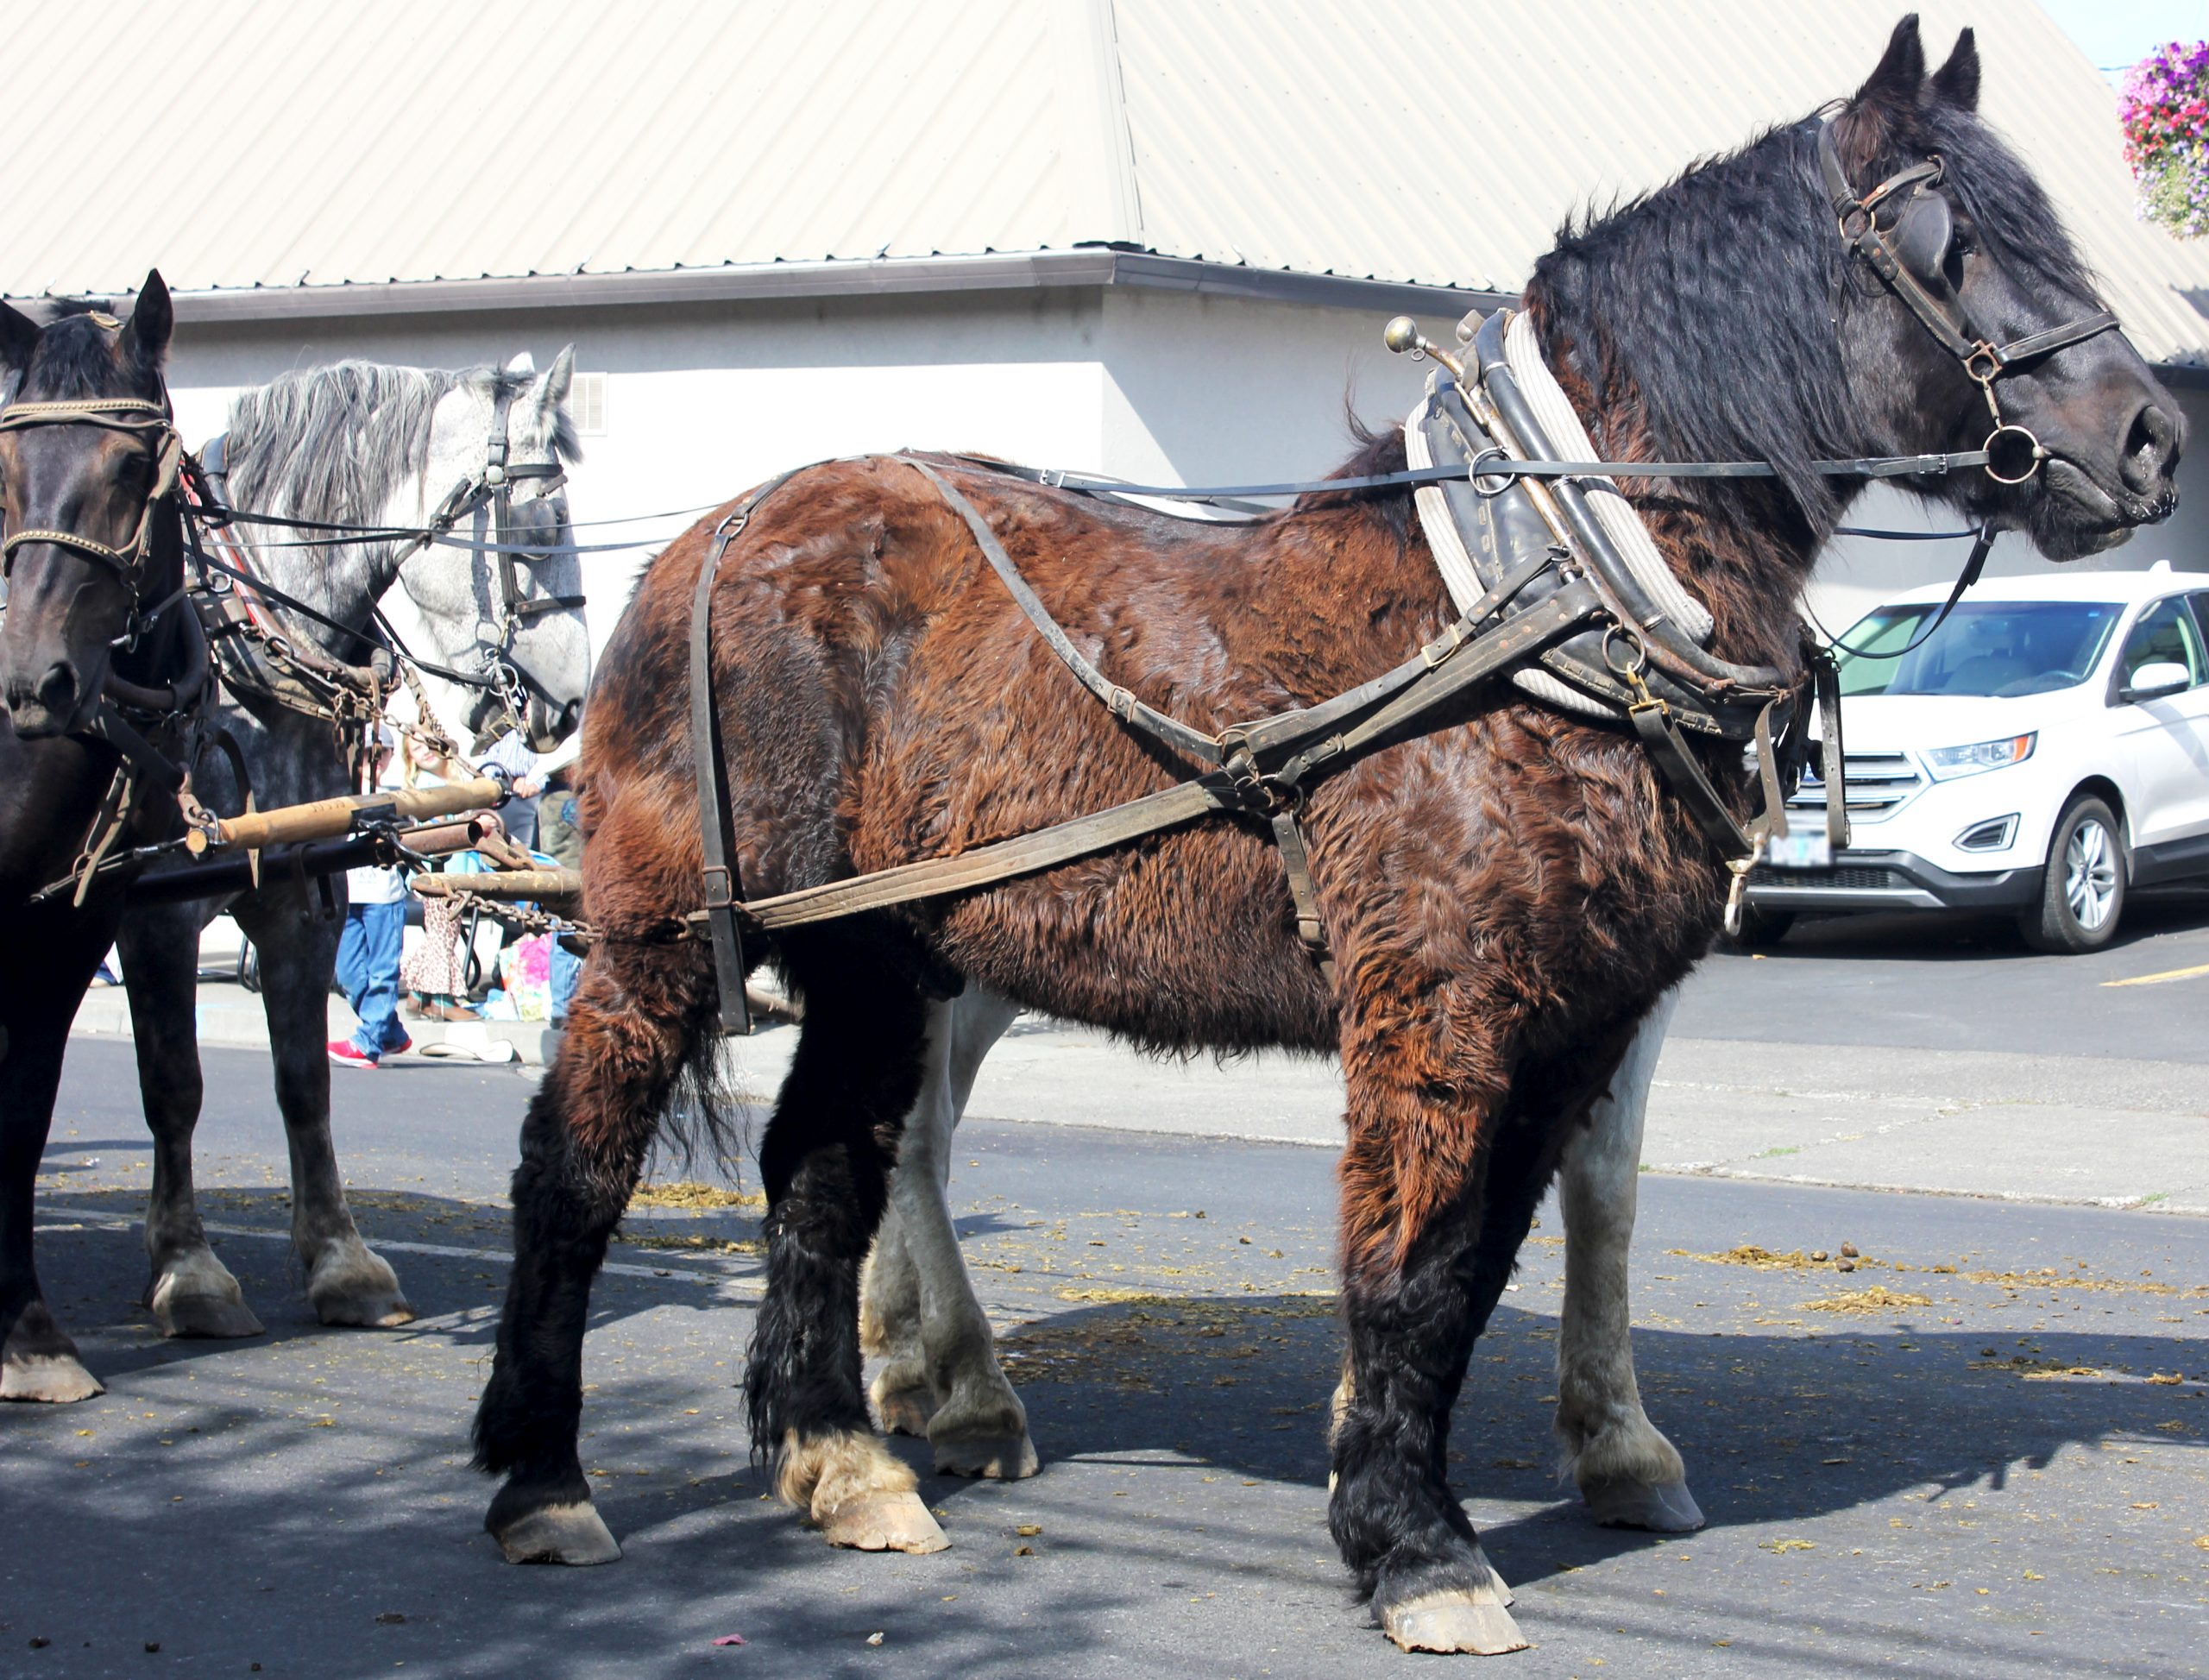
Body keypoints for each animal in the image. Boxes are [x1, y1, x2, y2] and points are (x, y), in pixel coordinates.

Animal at [114, 353, 591, 1342]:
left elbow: (304, 1083)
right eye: (541, 521)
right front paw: (188, 1269)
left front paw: (341, 1261)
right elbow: (174, 1085)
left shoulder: (300, 905)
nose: (571, 702)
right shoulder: (159, 915)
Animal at [474, 21, 2181, 1655]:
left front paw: (1447, 1485)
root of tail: (711, 535)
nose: (2156, 439)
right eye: (1951, 236)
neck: (1542, 606)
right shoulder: (1438, 1008)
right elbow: (1409, 1270)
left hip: (881, 952)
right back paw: (546, 1476)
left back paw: (842, 1455)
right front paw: (1420, 1550)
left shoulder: (1581, 1018)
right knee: (579, 1163)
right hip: (664, 937)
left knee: (826, 1167)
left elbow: (1495, 1263)